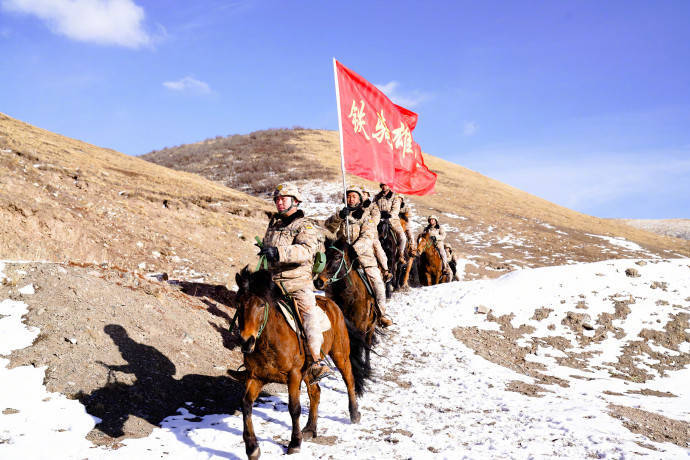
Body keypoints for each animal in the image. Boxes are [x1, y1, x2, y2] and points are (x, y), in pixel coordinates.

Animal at [234, 268, 368, 458]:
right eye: (238, 303)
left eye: (261, 305)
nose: (246, 341)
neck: (269, 341)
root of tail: (332, 304)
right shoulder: (256, 377)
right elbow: (246, 404)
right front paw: (252, 448)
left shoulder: (294, 375)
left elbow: (294, 408)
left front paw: (295, 443)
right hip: (309, 371)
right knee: (315, 392)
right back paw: (311, 428)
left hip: (340, 354)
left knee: (349, 380)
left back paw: (354, 414)